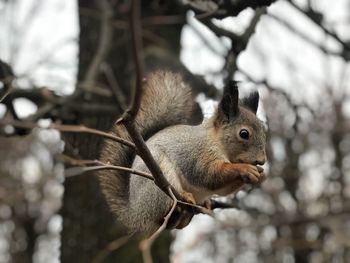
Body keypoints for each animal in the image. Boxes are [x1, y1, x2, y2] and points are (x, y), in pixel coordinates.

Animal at [98, 70, 268, 235]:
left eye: (264, 131)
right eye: (244, 134)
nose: (262, 160)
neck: (216, 141)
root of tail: (136, 213)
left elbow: (222, 188)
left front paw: (261, 174)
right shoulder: (199, 154)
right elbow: (210, 175)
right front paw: (246, 169)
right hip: (157, 181)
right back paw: (184, 199)